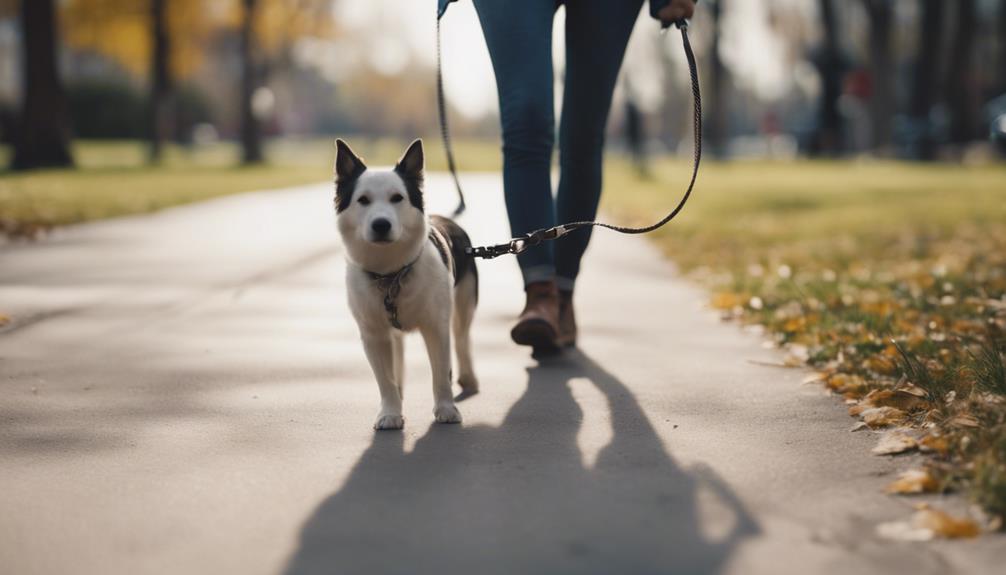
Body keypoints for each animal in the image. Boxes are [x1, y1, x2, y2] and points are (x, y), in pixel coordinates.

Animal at [333, 136, 478, 428]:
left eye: (397, 198)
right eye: (363, 200)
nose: (381, 224)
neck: (391, 274)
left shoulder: (436, 326)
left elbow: (440, 373)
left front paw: (446, 408)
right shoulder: (373, 334)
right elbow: (384, 379)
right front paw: (390, 412)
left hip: (465, 302)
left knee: (461, 338)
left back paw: (468, 377)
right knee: (397, 354)